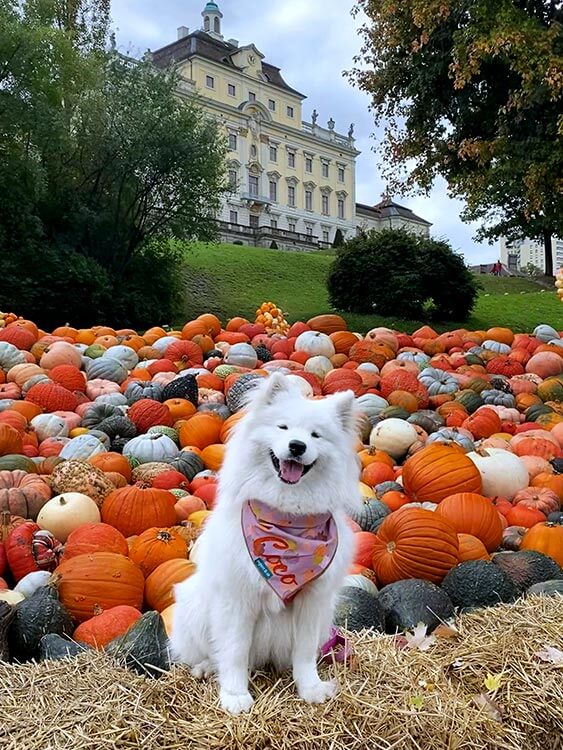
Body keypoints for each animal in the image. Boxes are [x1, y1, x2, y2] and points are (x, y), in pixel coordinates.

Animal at [170, 376, 362, 716]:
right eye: (282, 427)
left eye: (316, 435)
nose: (297, 446)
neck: (287, 520)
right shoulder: (236, 600)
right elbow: (234, 652)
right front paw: (234, 695)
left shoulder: (313, 603)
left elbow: (304, 653)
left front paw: (310, 688)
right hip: (194, 607)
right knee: (206, 652)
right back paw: (206, 667)